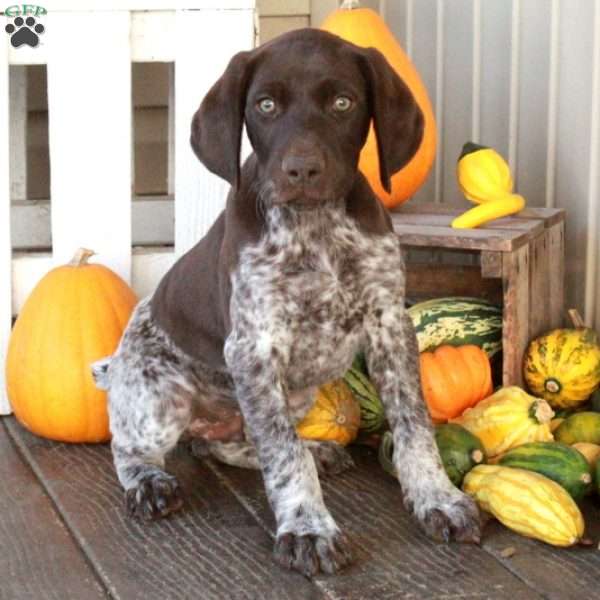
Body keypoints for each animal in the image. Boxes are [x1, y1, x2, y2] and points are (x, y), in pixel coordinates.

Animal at [91, 28, 480, 576]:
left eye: (343, 103)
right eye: (266, 105)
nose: (301, 170)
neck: (315, 229)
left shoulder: (389, 325)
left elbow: (413, 425)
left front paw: (437, 498)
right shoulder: (255, 347)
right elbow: (282, 455)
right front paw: (307, 527)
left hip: (291, 395)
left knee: (238, 443)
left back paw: (316, 449)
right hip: (158, 398)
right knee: (131, 447)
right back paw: (149, 484)